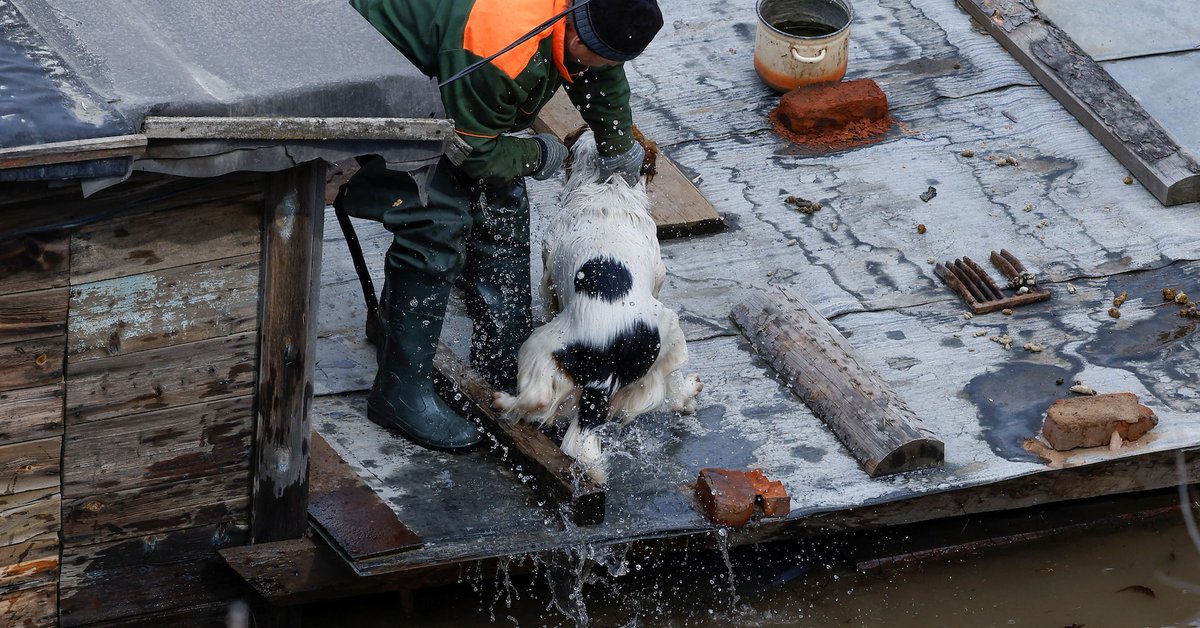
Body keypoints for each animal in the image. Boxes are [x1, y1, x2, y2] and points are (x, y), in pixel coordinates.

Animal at [492, 126, 700, 482]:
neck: (608, 187)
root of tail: (610, 349)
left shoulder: (548, 275)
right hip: (670, 337)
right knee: (672, 388)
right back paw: (689, 392)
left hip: (542, 345)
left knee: (539, 397)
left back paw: (505, 403)